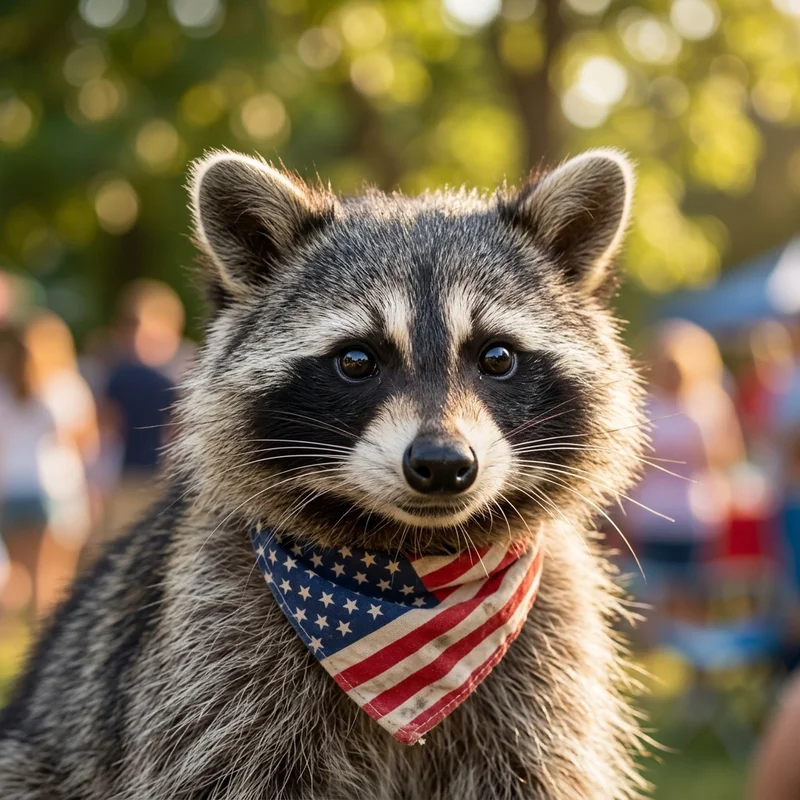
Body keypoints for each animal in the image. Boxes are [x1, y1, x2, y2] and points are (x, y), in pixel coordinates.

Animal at [0, 148, 647, 799]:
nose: (443, 465)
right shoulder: (214, 661)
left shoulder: (550, 658)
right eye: (357, 360)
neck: (413, 557)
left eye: (497, 357)